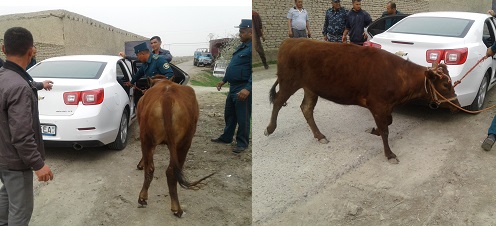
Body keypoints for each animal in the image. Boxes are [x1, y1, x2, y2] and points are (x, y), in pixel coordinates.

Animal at [136, 76, 213, 216]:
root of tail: (167, 98)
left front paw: (140, 164)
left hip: (148, 138)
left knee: (153, 169)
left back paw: (144, 198)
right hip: (184, 142)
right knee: (169, 171)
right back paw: (176, 207)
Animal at [266, 38, 460, 163]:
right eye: (445, 85)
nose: (457, 105)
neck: (397, 75)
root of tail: (291, 41)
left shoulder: (385, 107)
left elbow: (387, 123)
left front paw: (373, 130)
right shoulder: (378, 105)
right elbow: (386, 129)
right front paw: (389, 154)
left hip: (311, 88)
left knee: (306, 108)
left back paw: (319, 136)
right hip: (289, 82)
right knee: (278, 102)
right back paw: (270, 128)